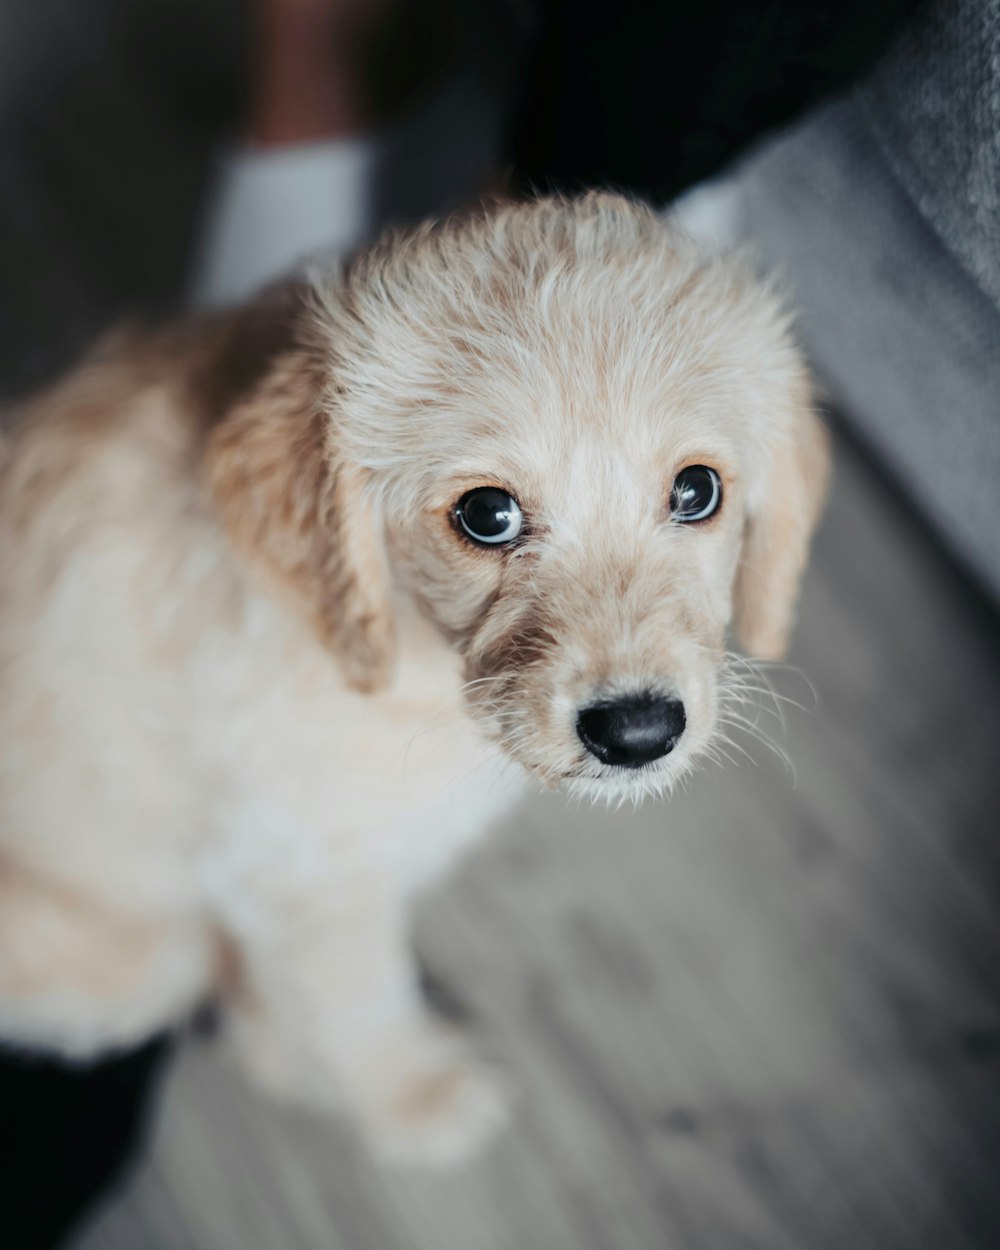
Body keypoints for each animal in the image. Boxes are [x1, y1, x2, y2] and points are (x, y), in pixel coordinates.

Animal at [0, 192, 830, 1160]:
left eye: (697, 492)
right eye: (487, 514)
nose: (638, 733)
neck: (409, 662)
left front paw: (308, 1064)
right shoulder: (309, 876)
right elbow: (360, 999)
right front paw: (417, 1100)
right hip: (134, 961)